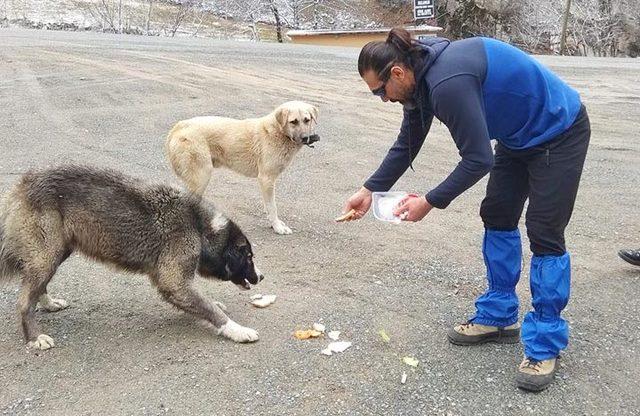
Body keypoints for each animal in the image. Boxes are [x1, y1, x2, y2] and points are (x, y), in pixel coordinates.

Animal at [0, 164, 262, 350]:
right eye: (249, 257)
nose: (261, 277)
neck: (199, 227)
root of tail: (21, 185)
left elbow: (204, 302)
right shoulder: (173, 283)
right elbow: (210, 310)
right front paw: (238, 330)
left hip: (56, 253)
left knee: (37, 287)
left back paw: (48, 303)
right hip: (47, 256)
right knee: (24, 301)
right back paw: (34, 337)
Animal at [164, 98, 318, 232]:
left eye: (307, 120)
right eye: (293, 122)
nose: (306, 138)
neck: (277, 131)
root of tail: (178, 127)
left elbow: (268, 206)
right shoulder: (266, 179)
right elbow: (272, 207)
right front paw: (277, 227)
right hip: (202, 177)